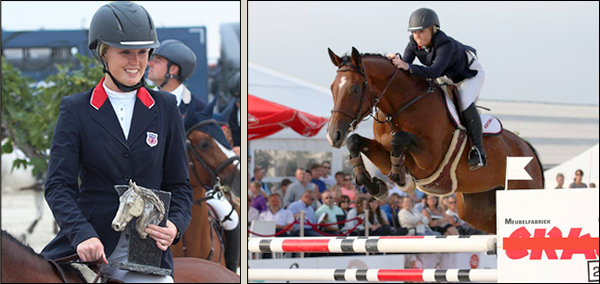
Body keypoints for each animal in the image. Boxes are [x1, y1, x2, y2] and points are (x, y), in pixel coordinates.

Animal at [328, 46, 544, 233]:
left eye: (355, 88)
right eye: (332, 88)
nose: (333, 135)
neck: (402, 106)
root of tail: (528, 149)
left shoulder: (429, 159)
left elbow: (400, 139)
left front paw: (402, 179)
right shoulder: (383, 156)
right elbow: (355, 141)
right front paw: (374, 185)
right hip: (477, 209)